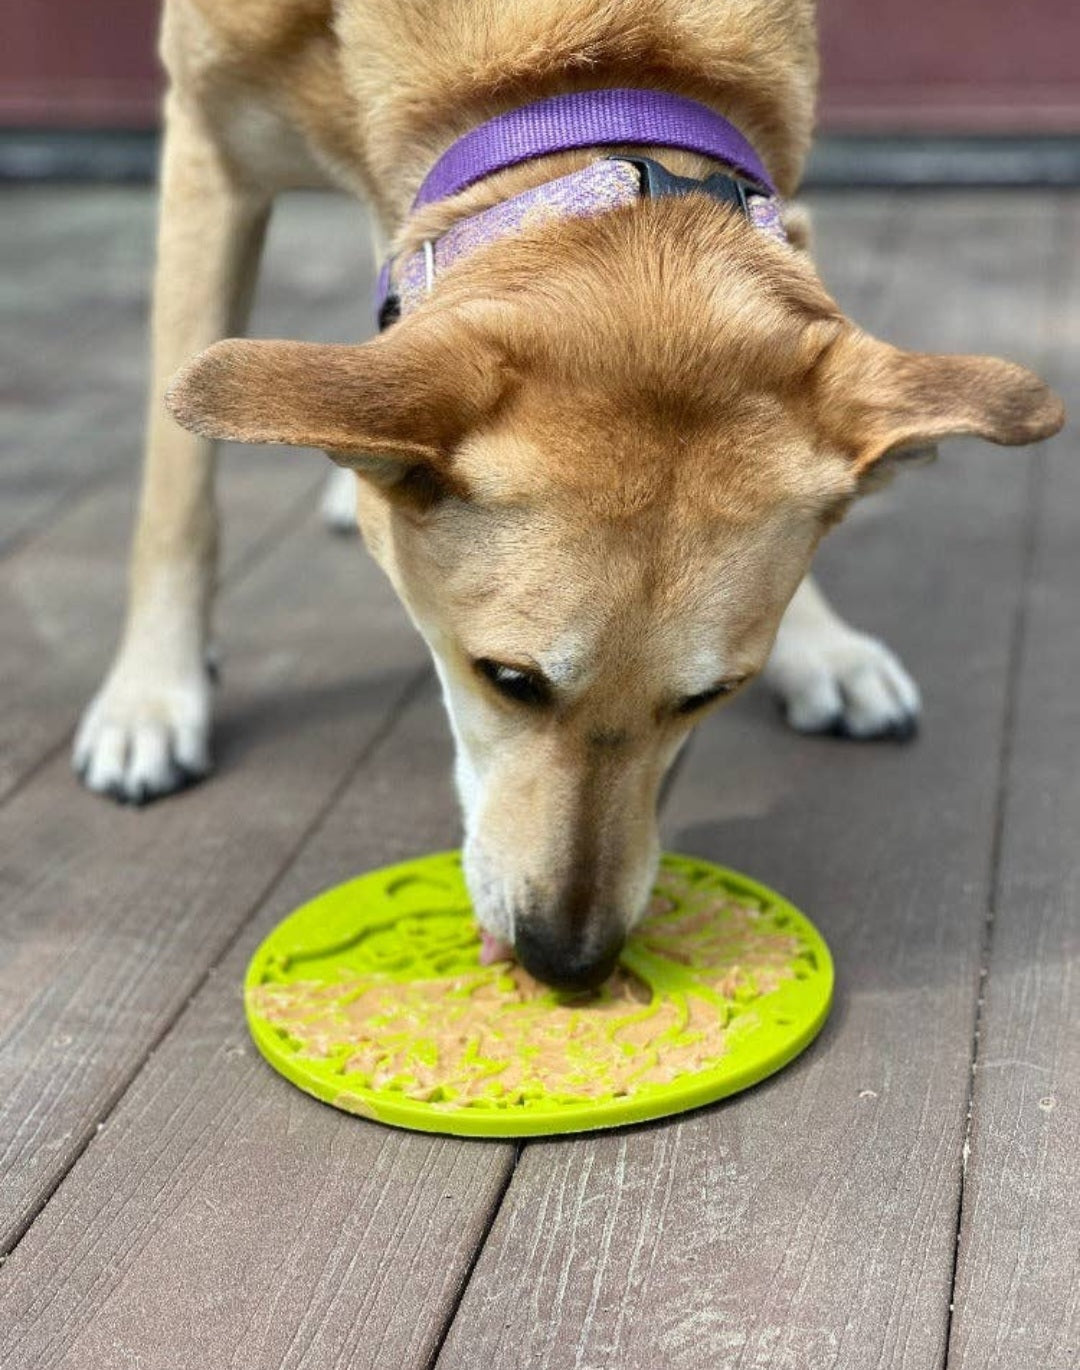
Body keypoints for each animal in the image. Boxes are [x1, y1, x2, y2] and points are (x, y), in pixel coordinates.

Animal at [73, 0, 1063, 986]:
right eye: (508, 679)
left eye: (712, 696)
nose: (569, 964)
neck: (576, 67)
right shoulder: (208, 156)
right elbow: (176, 490)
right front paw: (151, 695)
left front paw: (820, 644)